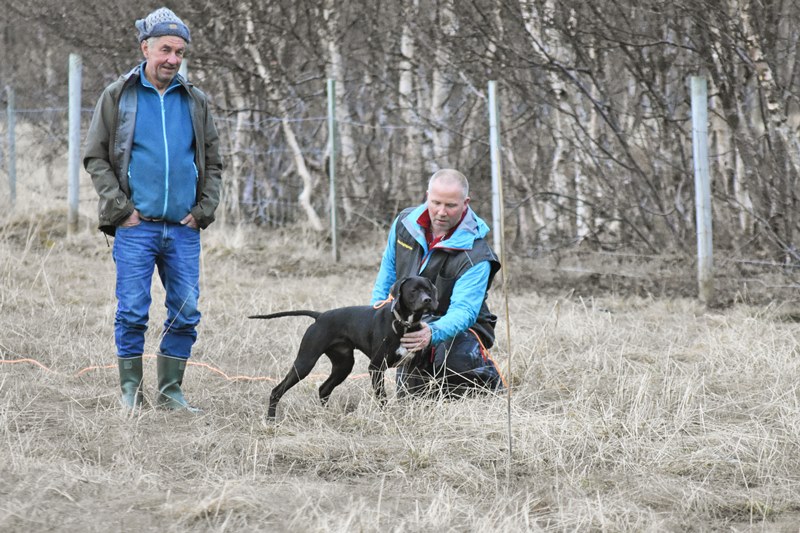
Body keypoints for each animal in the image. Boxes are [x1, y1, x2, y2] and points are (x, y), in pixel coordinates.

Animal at [248, 276, 438, 418]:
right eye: (413, 290)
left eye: (428, 290)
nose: (428, 300)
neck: (403, 323)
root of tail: (320, 316)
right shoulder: (376, 367)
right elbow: (382, 397)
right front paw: (387, 417)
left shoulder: (413, 368)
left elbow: (411, 395)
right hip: (304, 363)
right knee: (277, 390)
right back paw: (271, 420)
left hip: (343, 365)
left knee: (324, 389)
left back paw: (326, 415)